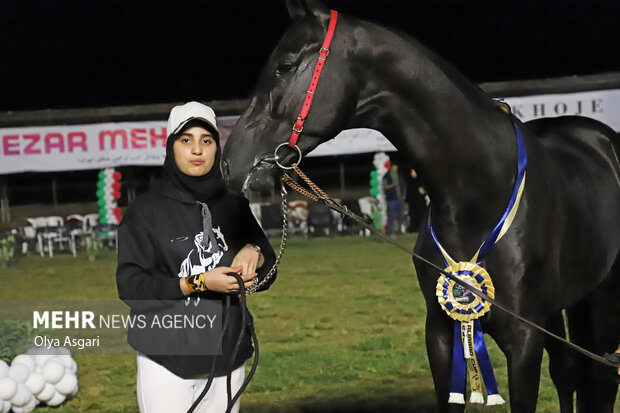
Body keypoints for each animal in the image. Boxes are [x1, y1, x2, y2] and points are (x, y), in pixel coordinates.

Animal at [220, 1, 616, 410]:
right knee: (568, 370)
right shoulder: (440, 333)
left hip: (601, 297)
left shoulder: (523, 340)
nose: (229, 162)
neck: (480, 194)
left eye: (285, 65)